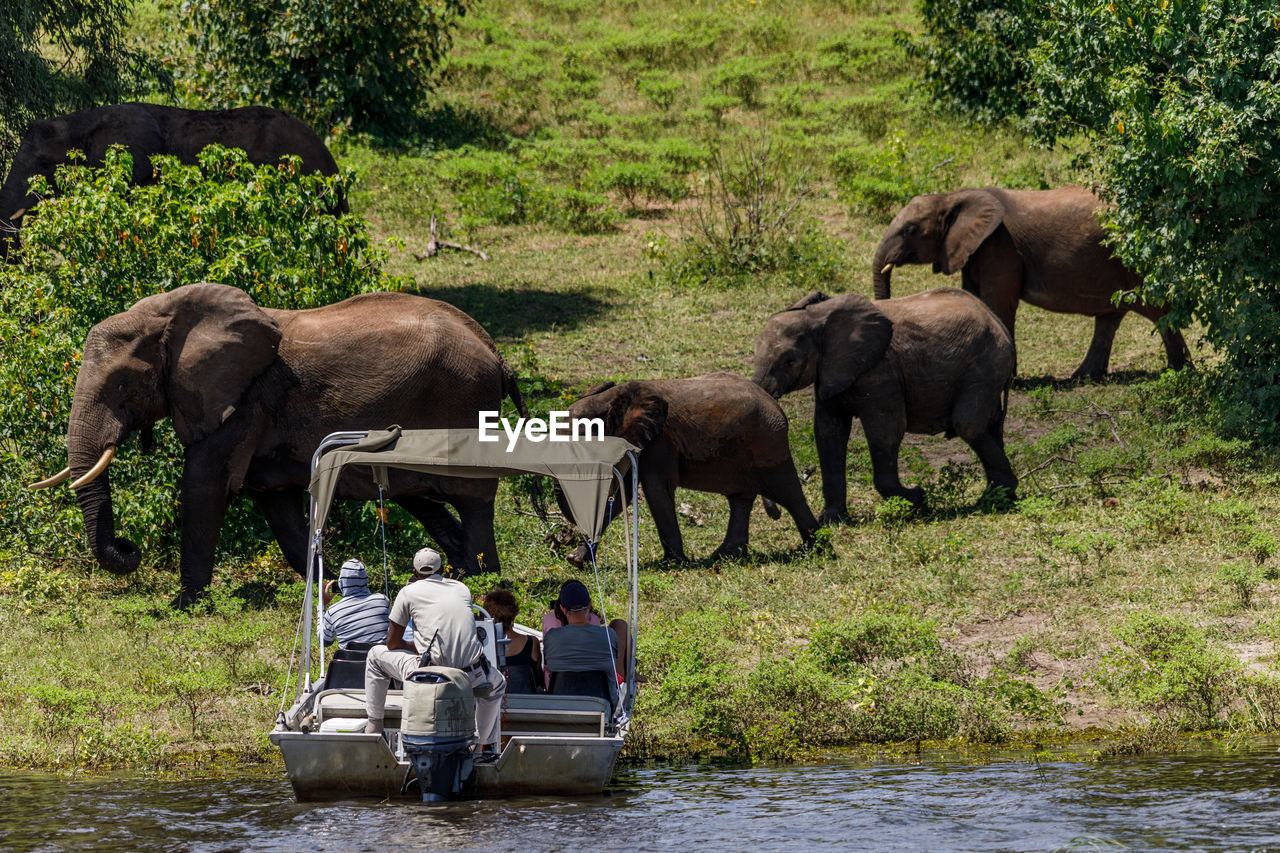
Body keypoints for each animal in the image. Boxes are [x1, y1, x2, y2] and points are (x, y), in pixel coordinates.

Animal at [32, 281, 527, 607]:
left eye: (121, 386)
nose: (128, 546)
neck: (166, 314)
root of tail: (496, 353)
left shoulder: (242, 401)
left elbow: (204, 485)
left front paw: (185, 605)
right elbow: (277, 506)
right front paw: (329, 587)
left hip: (464, 401)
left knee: (473, 497)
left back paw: (482, 577)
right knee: (423, 499)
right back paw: (454, 572)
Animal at [560, 371, 819, 563]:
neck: (611, 398)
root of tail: (778, 408)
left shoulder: (660, 441)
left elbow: (655, 488)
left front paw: (673, 563)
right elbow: (621, 493)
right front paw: (576, 560)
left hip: (769, 443)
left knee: (788, 494)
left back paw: (814, 548)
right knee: (741, 499)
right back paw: (724, 556)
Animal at [747, 289, 1018, 522]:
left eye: (790, 361)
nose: (776, 514)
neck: (818, 316)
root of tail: (996, 320)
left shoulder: (880, 370)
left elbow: (886, 429)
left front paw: (917, 498)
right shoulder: (831, 371)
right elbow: (828, 432)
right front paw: (831, 520)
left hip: (987, 364)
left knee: (967, 424)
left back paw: (994, 499)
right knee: (990, 426)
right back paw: (999, 499)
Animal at [870, 185, 1187, 379]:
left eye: (910, 230)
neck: (952, 197)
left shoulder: (1001, 246)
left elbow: (998, 302)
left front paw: (1008, 379)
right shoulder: (976, 249)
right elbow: (974, 297)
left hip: (1135, 261)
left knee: (1159, 312)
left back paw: (1180, 373)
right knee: (1109, 318)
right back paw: (1083, 378)